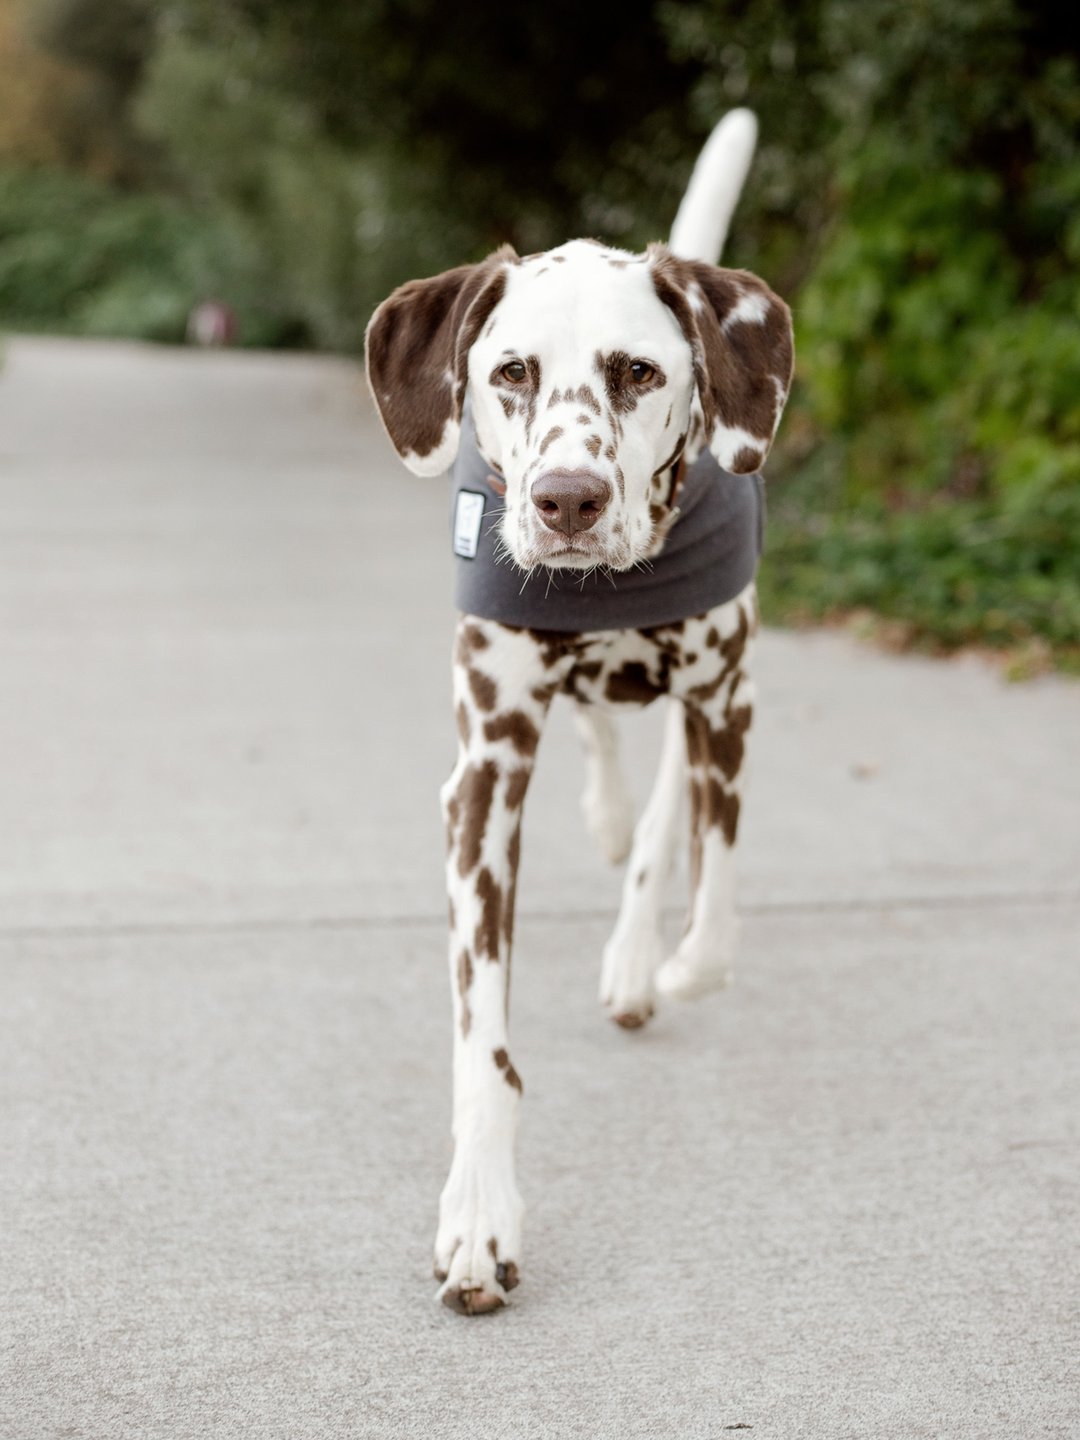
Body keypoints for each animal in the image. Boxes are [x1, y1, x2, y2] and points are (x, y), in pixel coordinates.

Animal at [364, 106, 794, 1313]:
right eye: (510, 371)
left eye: (638, 372)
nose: (567, 501)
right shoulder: (485, 778)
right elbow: (483, 1041)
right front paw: (478, 1214)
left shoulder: (729, 696)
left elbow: (713, 882)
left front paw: (673, 957)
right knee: (607, 741)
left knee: (665, 805)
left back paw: (640, 950)